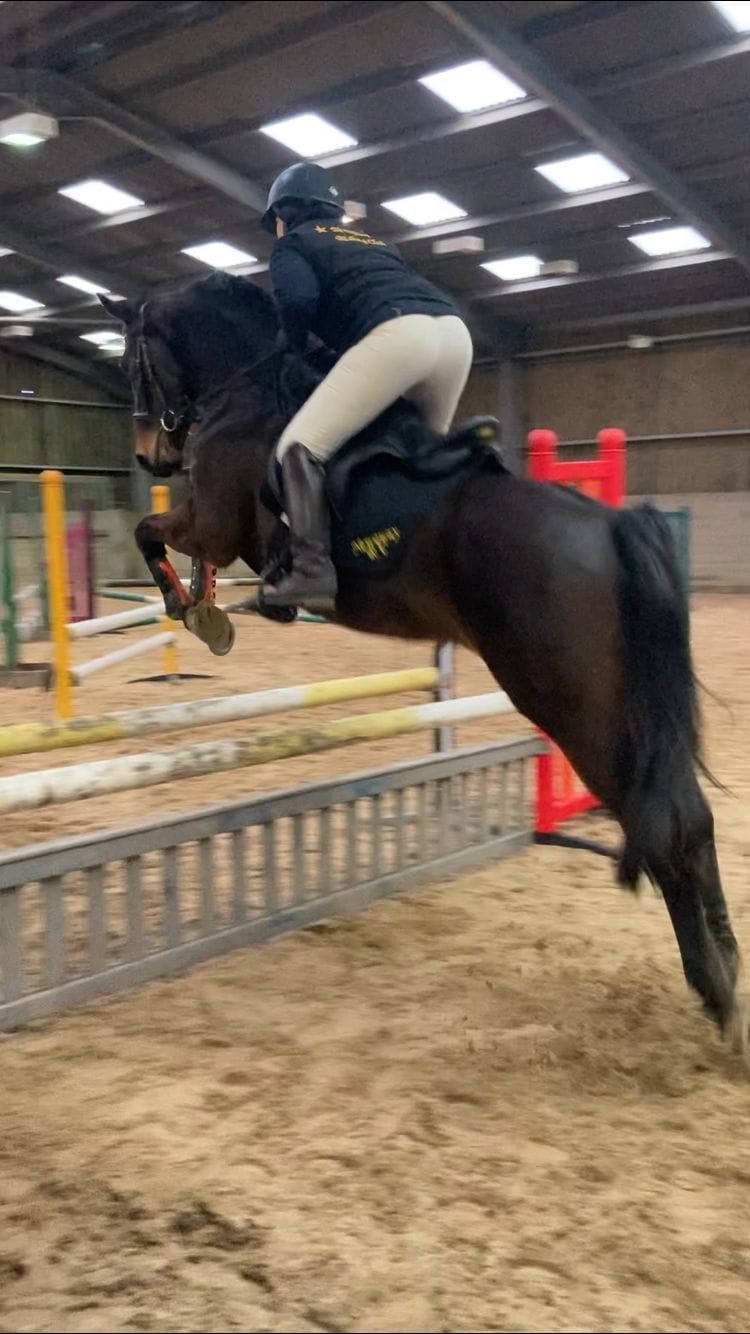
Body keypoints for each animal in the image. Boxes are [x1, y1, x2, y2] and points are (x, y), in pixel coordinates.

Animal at [99, 270, 741, 1045]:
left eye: (130, 362)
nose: (152, 457)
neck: (247, 387)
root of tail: (611, 523)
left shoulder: (215, 522)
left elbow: (149, 531)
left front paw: (193, 609)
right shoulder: (212, 527)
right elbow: (166, 543)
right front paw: (206, 606)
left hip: (575, 706)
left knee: (666, 821)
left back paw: (712, 988)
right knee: (692, 818)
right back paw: (729, 972)